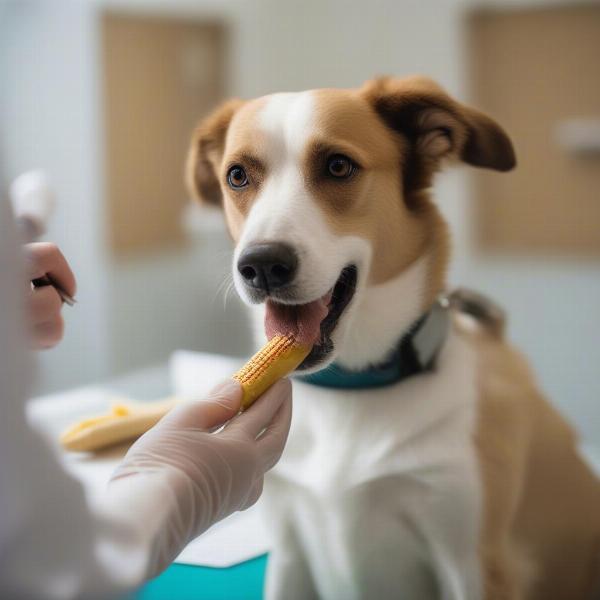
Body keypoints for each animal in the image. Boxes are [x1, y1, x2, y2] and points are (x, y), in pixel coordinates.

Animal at [188, 77, 600, 596]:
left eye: (338, 166)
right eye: (238, 176)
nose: (261, 265)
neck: (354, 390)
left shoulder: (474, 564)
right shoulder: (289, 553)